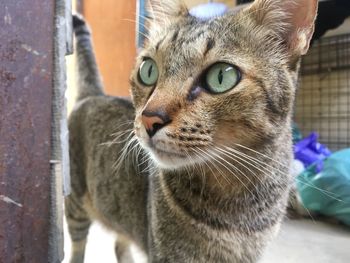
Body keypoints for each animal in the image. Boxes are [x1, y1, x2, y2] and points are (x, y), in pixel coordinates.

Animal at [65, 0, 318, 262]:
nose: (149, 118)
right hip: (75, 204)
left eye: (221, 76)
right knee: (78, 245)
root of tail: (93, 94)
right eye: (148, 70)